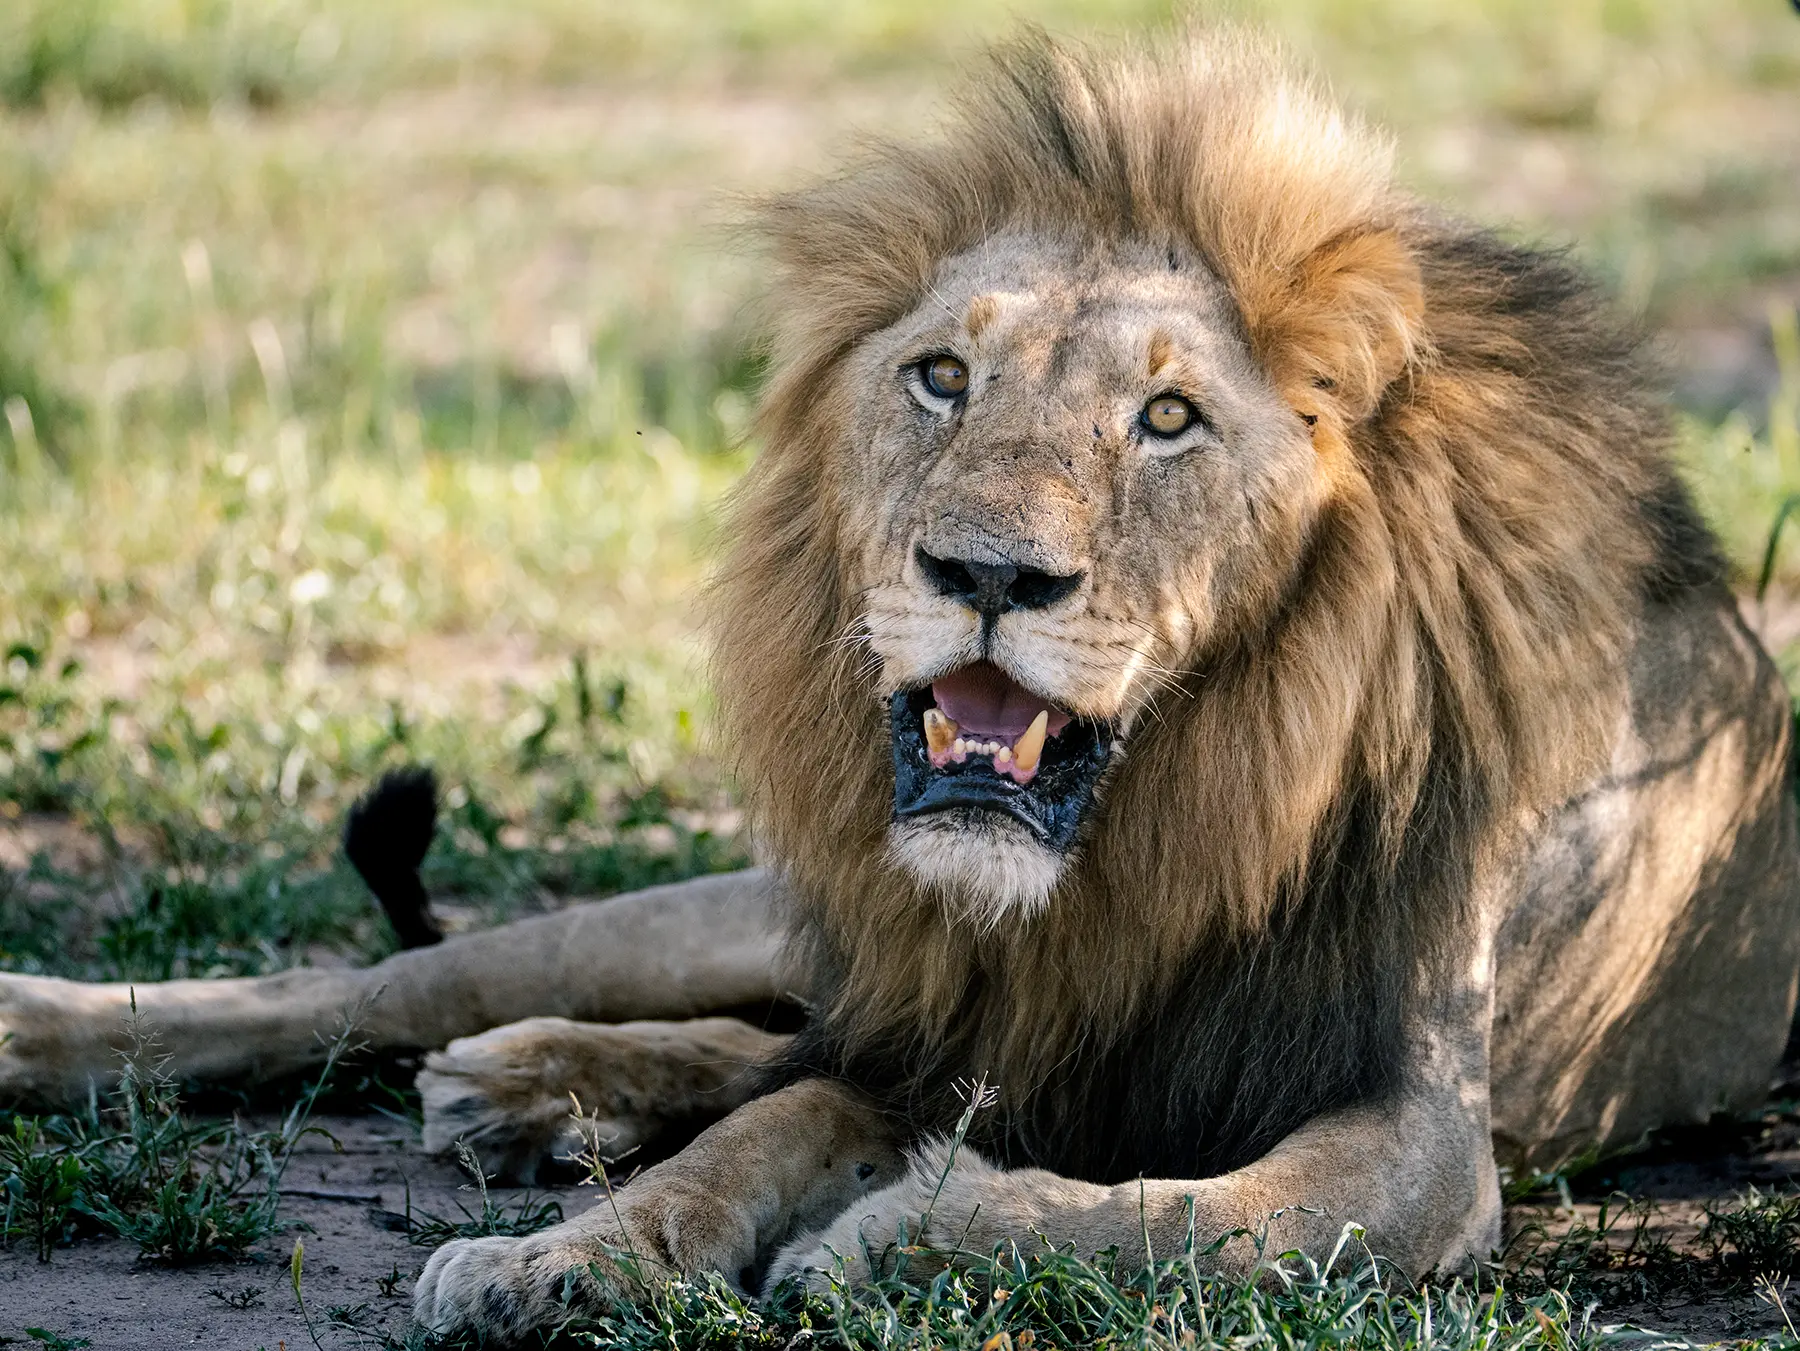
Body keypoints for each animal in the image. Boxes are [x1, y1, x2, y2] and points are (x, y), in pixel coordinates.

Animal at [2, 26, 1798, 1343]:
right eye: (942, 377)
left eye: (1168, 420)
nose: (988, 575)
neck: (1159, 829)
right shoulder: (970, 1025)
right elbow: (768, 1125)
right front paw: (561, 1260)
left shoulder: (1420, 1144)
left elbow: (1179, 1222)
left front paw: (885, 1244)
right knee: (411, 983)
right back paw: (105, 1034)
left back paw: (538, 1090)